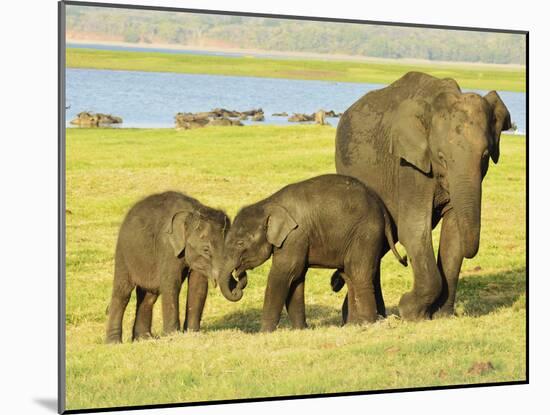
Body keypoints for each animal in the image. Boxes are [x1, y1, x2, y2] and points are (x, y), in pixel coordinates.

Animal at [105, 192, 235, 344]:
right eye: (206, 249)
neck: (191, 212)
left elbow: (198, 286)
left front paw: (193, 333)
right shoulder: (167, 246)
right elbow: (171, 284)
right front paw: (173, 335)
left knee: (149, 295)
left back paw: (144, 338)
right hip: (124, 254)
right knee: (123, 292)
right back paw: (114, 342)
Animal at [218, 174, 408, 334]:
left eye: (240, 243)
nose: (238, 279)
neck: (268, 203)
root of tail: (383, 209)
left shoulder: (295, 236)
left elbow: (283, 274)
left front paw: (264, 333)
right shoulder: (297, 240)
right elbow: (296, 278)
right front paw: (300, 330)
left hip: (366, 234)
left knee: (358, 273)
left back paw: (367, 324)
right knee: (349, 275)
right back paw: (353, 325)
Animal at [336, 71, 512, 322]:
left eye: (485, 155)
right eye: (441, 157)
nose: (404, 261)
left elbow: (454, 232)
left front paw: (441, 316)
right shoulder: (409, 164)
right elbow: (413, 229)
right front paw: (410, 311)